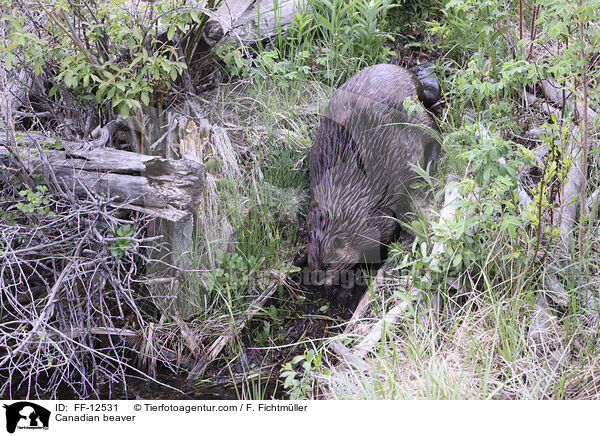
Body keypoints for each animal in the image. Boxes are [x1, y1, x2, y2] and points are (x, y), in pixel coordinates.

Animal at [308, 62, 438, 286]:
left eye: (326, 264)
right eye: (312, 262)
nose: (316, 282)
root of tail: (412, 76)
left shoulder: (375, 218)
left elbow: (384, 236)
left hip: (414, 113)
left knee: (434, 130)